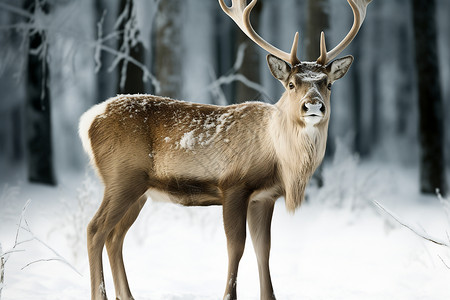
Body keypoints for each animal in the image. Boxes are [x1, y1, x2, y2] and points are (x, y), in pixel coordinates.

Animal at [79, 0, 370, 300]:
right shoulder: (234, 185)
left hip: (139, 190)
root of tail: (88, 119)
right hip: (122, 177)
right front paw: (229, 295)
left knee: (115, 236)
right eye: (291, 84)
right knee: (94, 229)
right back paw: (99, 293)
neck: (279, 159)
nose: (313, 105)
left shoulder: (265, 197)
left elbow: (263, 249)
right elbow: (236, 247)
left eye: (328, 84)